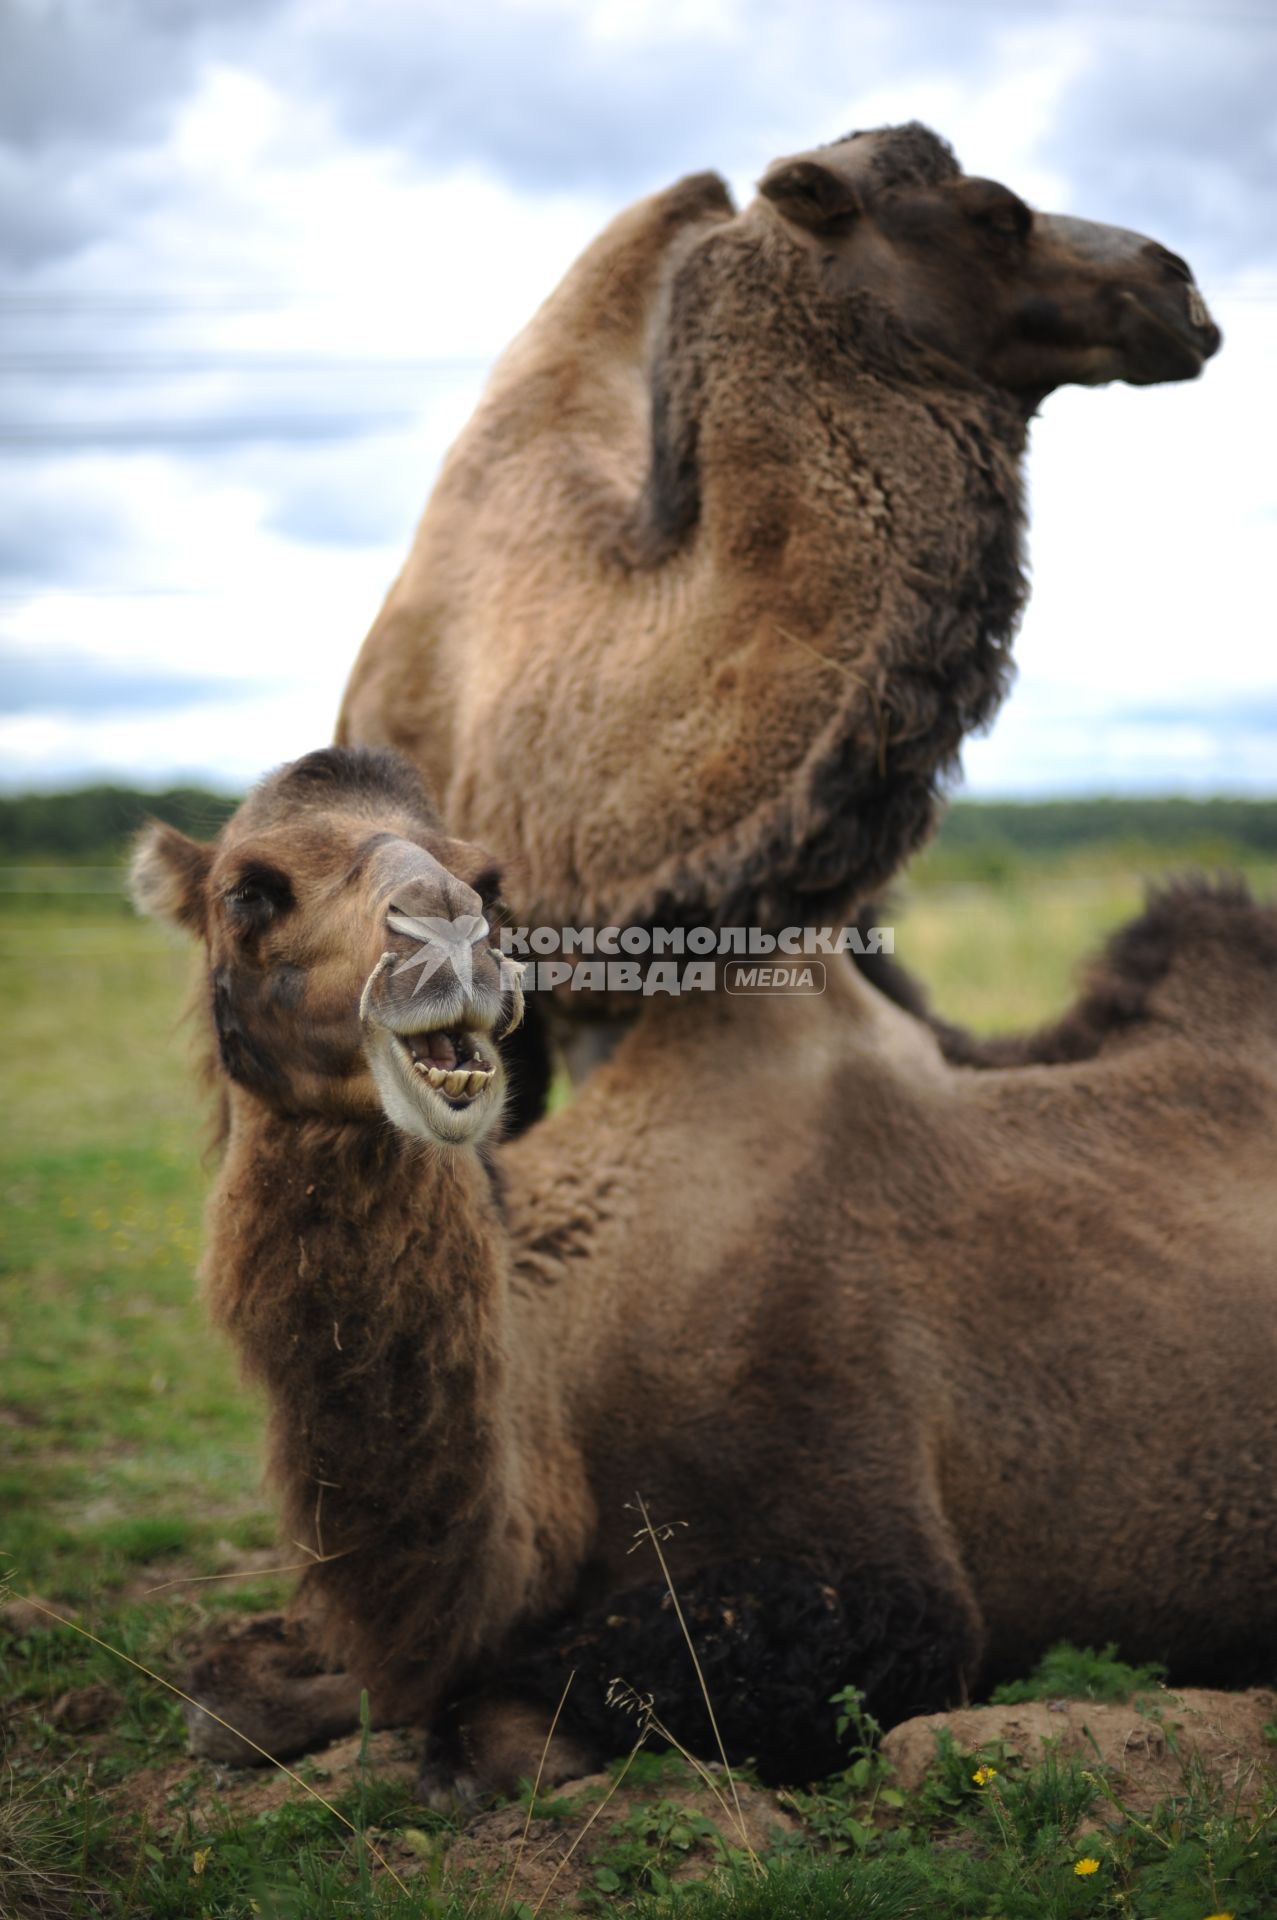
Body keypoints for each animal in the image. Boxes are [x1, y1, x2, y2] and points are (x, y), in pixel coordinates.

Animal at [131, 744, 1275, 1781]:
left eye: (487, 883)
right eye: (249, 890)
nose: (451, 945)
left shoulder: (871, 1568)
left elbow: (490, 1728)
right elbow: (225, 1700)